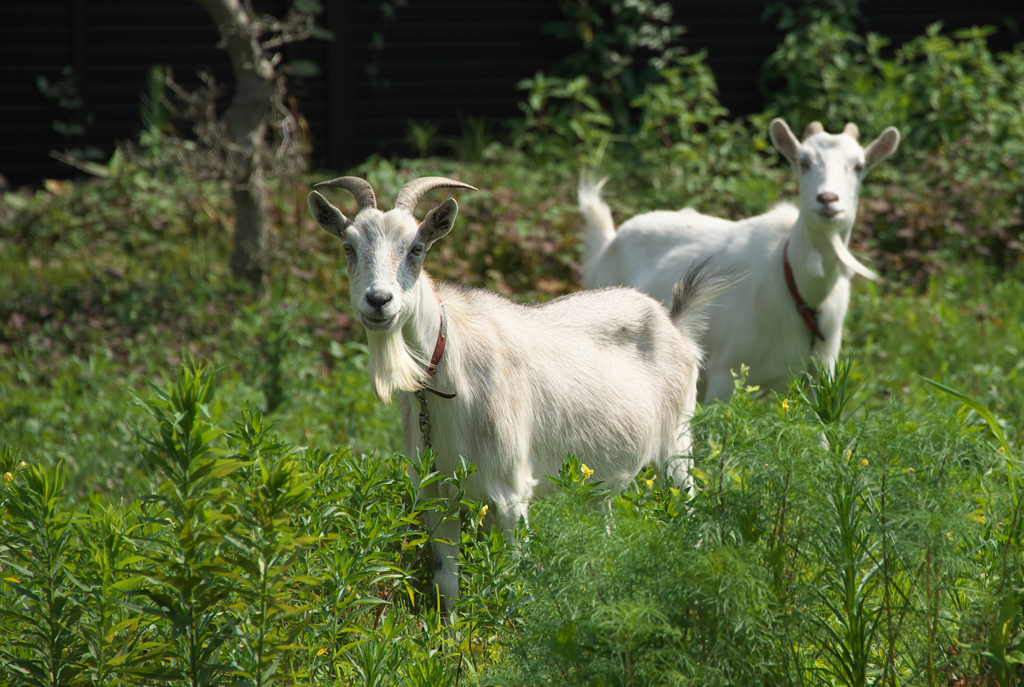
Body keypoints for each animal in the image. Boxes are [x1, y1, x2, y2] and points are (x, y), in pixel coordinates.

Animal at [305, 176, 729, 614]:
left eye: (416, 248)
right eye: (348, 246)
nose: (378, 301)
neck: (448, 368)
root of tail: (673, 321)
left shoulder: (510, 492)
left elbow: (513, 579)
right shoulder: (435, 496)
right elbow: (446, 584)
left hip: (677, 445)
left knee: (689, 513)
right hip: (600, 481)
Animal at [581, 115, 901, 401]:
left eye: (859, 166)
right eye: (803, 162)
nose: (828, 199)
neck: (802, 291)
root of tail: (610, 240)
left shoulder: (822, 375)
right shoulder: (726, 377)